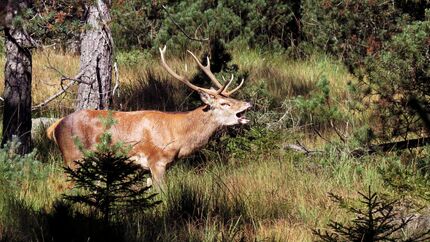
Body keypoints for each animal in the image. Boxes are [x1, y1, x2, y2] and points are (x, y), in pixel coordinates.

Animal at [47, 45, 252, 185]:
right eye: (225, 103)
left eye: (231, 98)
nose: (248, 103)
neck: (178, 136)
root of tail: (54, 126)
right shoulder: (157, 160)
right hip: (73, 156)